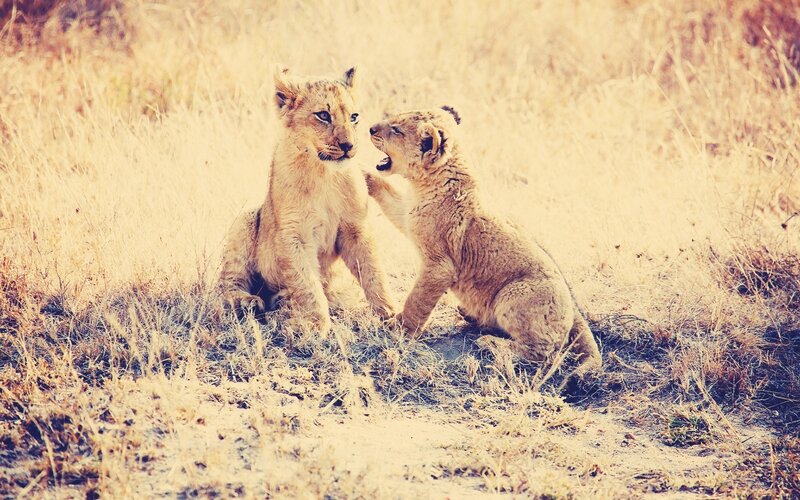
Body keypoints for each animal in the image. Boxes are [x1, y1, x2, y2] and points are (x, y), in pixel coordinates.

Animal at [217, 67, 396, 334]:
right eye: (323, 115)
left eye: (354, 117)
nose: (348, 145)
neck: (324, 173)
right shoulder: (294, 233)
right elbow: (306, 282)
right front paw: (315, 324)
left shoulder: (356, 226)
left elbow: (373, 271)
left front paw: (391, 314)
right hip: (245, 218)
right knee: (227, 283)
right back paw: (248, 302)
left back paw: (283, 304)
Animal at [365, 106, 601, 376]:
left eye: (396, 129)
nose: (370, 128)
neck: (425, 184)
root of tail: (574, 310)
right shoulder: (407, 215)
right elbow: (386, 193)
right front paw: (361, 174)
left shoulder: (439, 266)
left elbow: (417, 301)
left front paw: (399, 329)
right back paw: (471, 316)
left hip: (514, 295)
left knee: (544, 354)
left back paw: (490, 343)